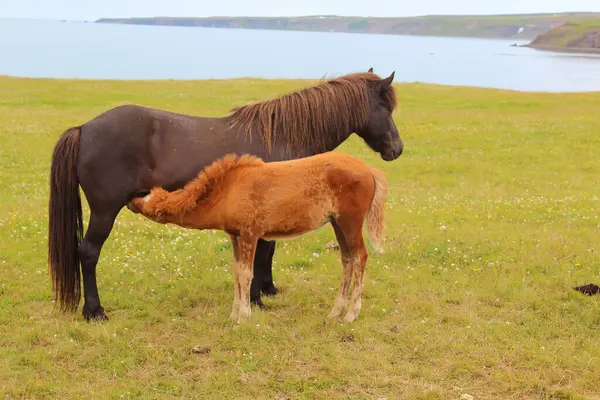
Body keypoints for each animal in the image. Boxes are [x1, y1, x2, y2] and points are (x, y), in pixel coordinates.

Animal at [128, 152, 386, 324]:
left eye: (147, 201)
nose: (130, 200)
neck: (227, 190)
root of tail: (369, 170)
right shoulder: (235, 236)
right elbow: (236, 271)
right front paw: (233, 314)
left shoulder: (250, 235)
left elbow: (245, 273)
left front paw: (243, 316)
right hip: (337, 223)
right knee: (347, 259)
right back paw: (335, 311)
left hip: (350, 222)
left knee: (360, 257)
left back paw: (351, 314)